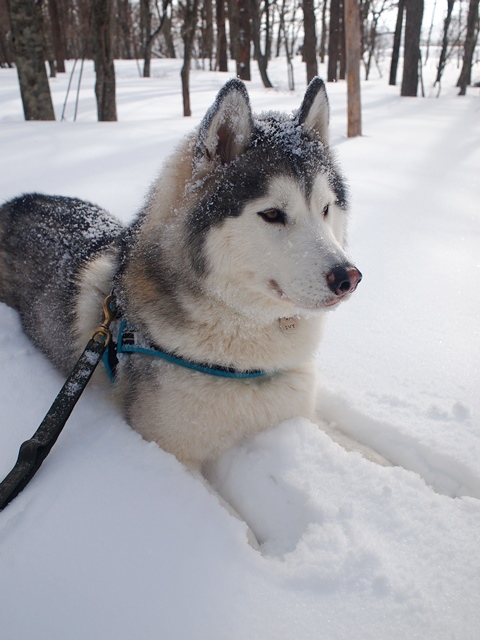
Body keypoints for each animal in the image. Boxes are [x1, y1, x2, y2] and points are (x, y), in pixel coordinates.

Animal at [0, 79, 360, 496]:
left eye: (326, 208)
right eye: (272, 214)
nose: (349, 277)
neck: (245, 359)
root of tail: (16, 201)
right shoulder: (173, 451)